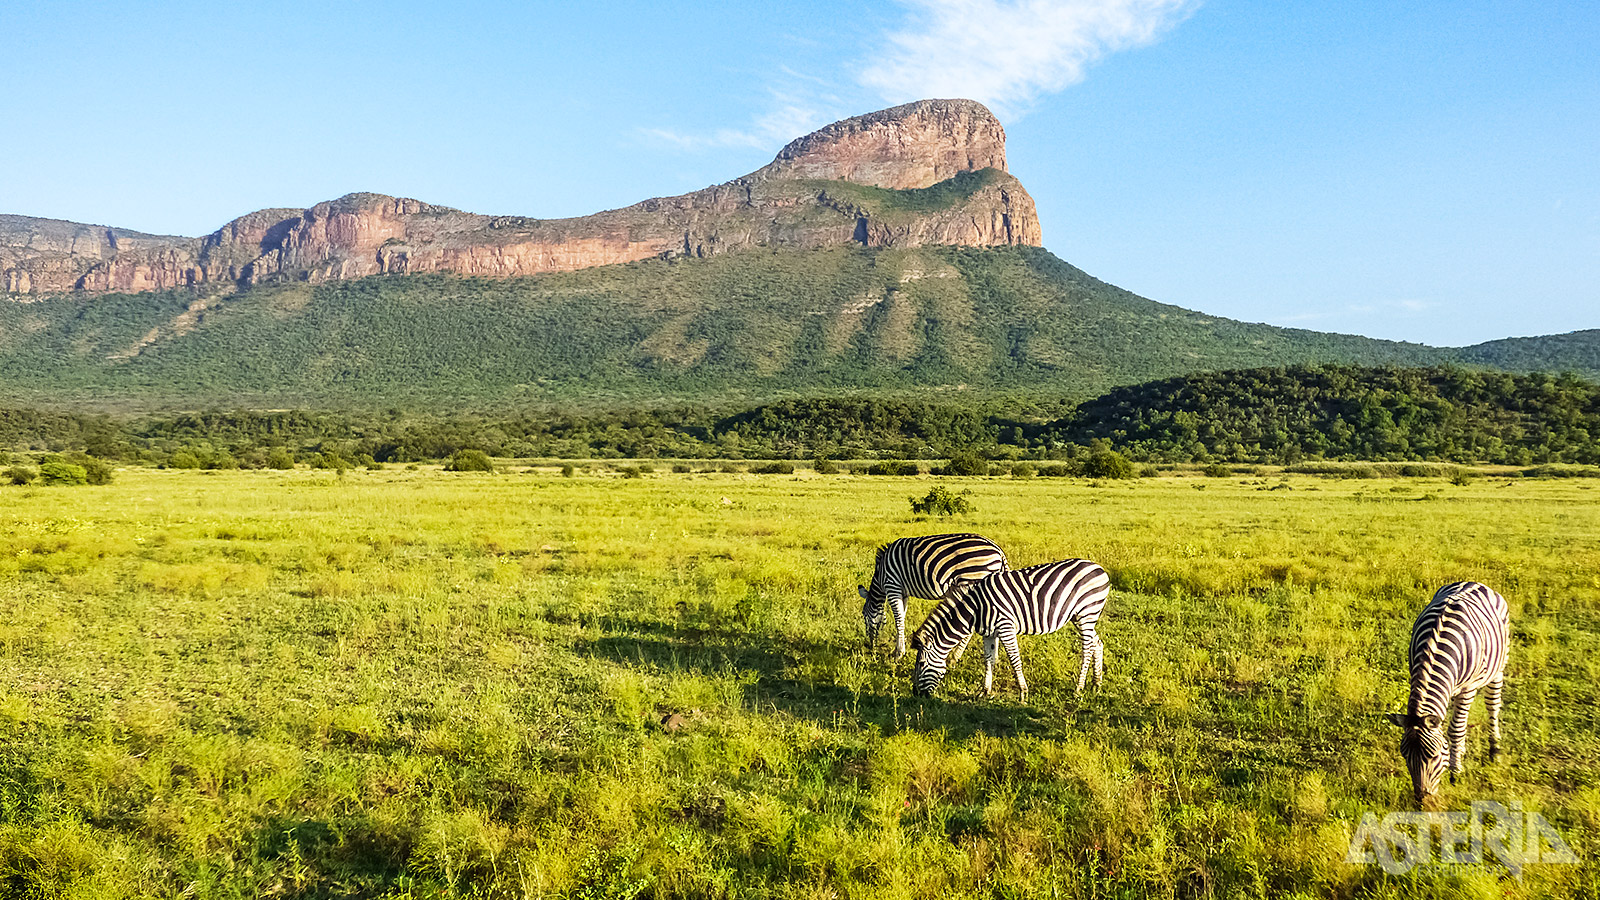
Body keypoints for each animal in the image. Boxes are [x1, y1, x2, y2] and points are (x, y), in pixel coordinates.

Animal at [857, 528, 1004, 656]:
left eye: (863, 614)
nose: (869, 645)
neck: (881, 574)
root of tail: (998, 549)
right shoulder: (903, 592)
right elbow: (902, 617)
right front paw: (898, 648)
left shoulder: (892, 586)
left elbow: (898, 619)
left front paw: (899, 653)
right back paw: (993, 655)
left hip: (972, 580)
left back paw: (955, 656)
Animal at [915, 554, 1113, 701]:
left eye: (922, 664)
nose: (917, 695)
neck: (976, 608)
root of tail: (1098, 568)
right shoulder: (989, 633)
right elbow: (989, 659)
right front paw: (984, 691)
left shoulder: (1005, 626)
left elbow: (1014, 659)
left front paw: (1023, 693)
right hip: (1080, 617)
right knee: (1097, 643)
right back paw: (1096, 684)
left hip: (1087, 612)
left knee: (1087, 649)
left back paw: (1078, 689)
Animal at [1382, 582, 1504, 807]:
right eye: (1405, 756)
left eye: (1434, 756)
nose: (1422, 802)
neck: (1435, 647)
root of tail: (1474, 582)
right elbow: (1454, 726)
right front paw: (1457, 756)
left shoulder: (1468, 688)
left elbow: (1455, 729)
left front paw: (1456, 773)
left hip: (1498, 667)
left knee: (1492, 705)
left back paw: (1494, 750)